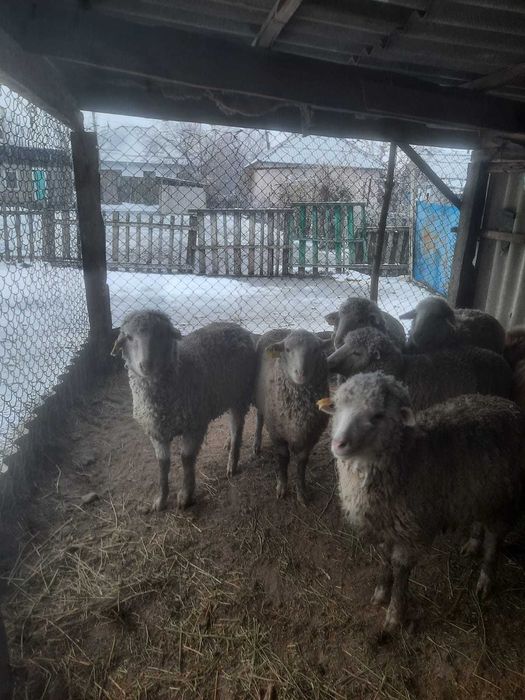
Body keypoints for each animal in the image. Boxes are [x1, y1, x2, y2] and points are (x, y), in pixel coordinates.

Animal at [112, 311, 257, 511]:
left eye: (162, 334)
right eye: (129, 337)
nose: (146, 365)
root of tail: (238, 327)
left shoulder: (194, 426)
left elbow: (186, 459)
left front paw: (185, 496)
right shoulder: (156, 432)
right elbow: (162, 466)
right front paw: (160, 500)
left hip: (240, 395)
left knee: (238, 429)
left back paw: (232, 463)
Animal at [253, 329, 331, 504]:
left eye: (316, 349)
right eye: (287, 350)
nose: (301, 373)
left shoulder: (311, 435)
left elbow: (301, 463)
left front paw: (301, 492)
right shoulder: (277, 434)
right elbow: (283, 459)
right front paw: (282, 487)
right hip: (261, 402)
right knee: (260, 418)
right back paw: (256, 443)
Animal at [318, 371, 525, 634]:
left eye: (378, 415)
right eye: (337, 408)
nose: (338, 443)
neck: (408, 457)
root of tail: (508, 405)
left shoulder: (410, 533)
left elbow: (400, 570)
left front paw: (395, 616)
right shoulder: (386, 527)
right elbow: (384, 559)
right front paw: (380, 592)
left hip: (505, 499)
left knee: (495, 539)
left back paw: (486, 579)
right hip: (480, 492)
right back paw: (473, 543)